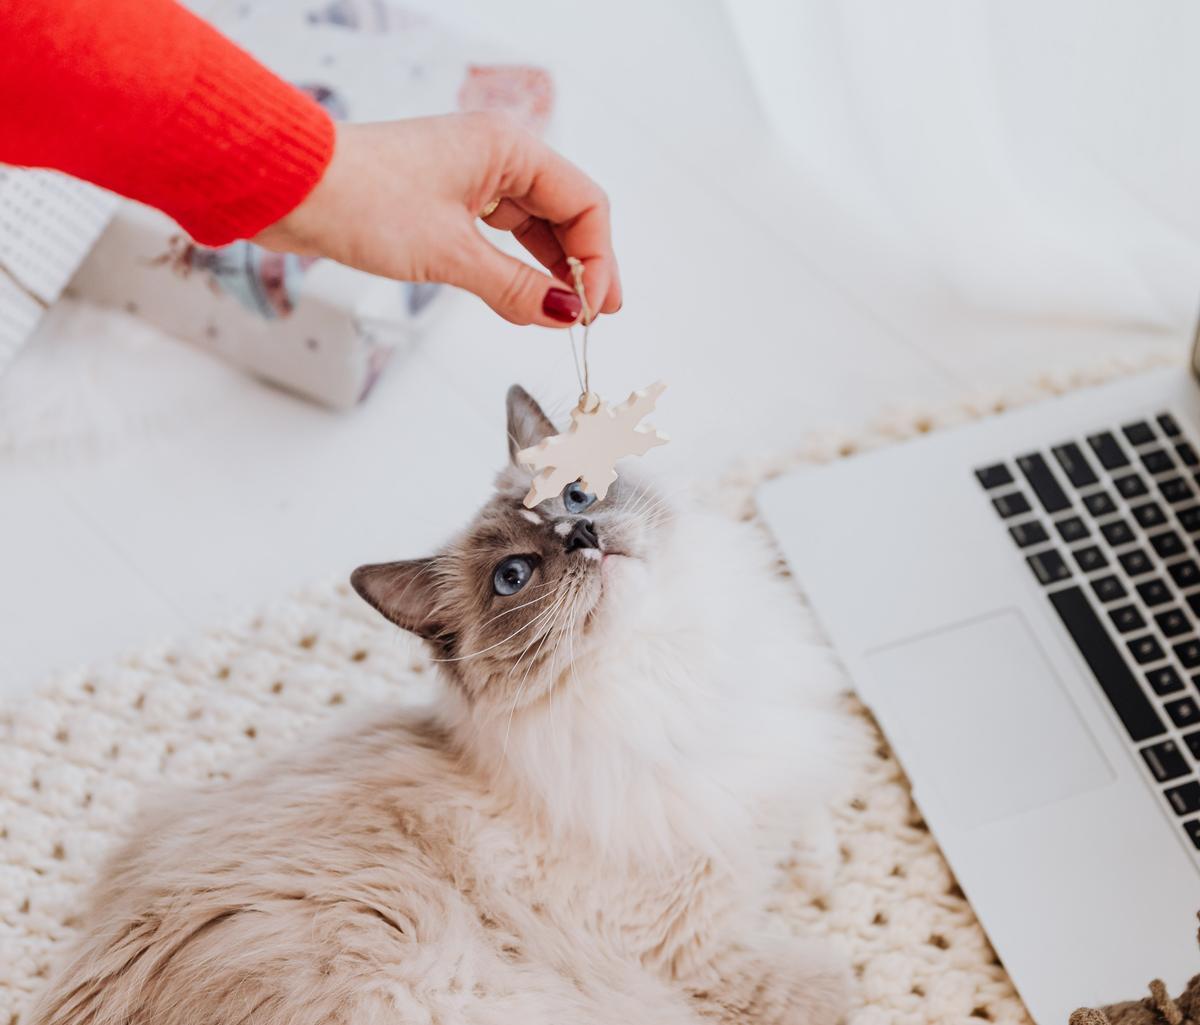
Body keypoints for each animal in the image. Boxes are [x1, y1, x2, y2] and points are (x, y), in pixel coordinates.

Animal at [32, 384, 859, 1025]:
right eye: (514, 577)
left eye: (576, 493)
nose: (583, 533)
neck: (663, 670)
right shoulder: (702, 962)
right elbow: (832, 982)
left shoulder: (768, 776)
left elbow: (810, 825)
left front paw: (821, 869)